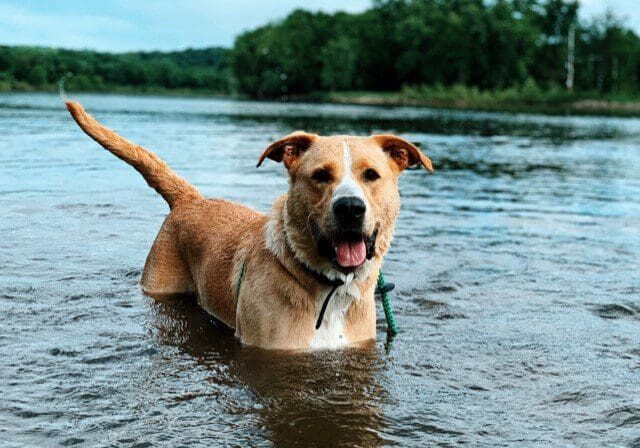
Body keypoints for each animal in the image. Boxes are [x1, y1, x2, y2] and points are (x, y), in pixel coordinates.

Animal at [65, 100, 432, 350]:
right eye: (320, 175)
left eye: (371, 175)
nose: (351, 208)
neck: (330, 289)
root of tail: (191, 199)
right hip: (158, 285)